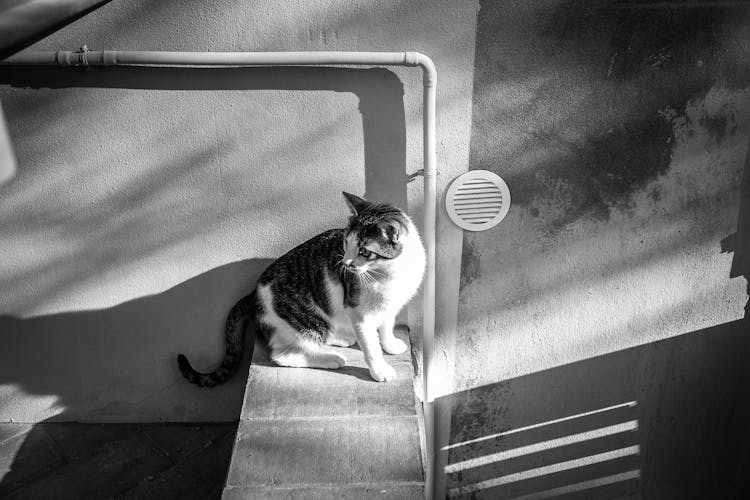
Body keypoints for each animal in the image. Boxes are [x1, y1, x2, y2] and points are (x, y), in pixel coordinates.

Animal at [175, 190, 424, 382]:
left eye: (364, 251)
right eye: (346, 243)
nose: (345, 264)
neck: (389, 274)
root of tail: (253, 293)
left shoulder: (390, 305)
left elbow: (386, 325)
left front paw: (389, 344)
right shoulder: (358, 312)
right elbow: (370, 346)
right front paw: (379, 370)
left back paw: (341, 338)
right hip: (304, 317)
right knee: (282, 354)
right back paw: (332, 358)